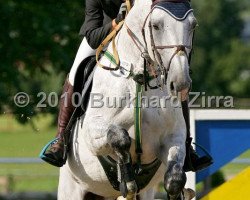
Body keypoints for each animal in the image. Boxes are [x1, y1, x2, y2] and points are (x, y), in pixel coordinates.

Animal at [59, 0, 197, 199]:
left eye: (193, 25)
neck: (140, 79)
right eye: (156, 25)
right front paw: (128, 181)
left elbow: (175, 180)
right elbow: (120, 138)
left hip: (145, 192)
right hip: (71, 188)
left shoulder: (173, 138)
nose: (181, 83)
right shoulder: (92, 133)